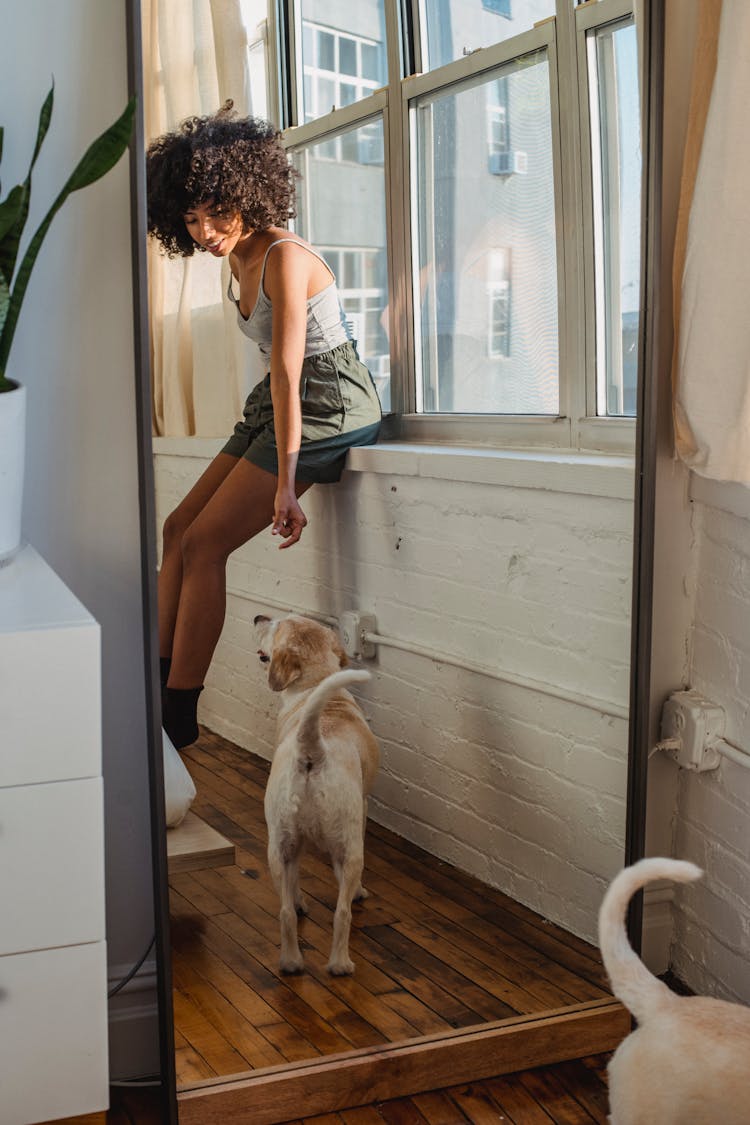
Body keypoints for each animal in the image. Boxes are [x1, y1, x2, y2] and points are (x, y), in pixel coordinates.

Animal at [254, 616, 382, 976]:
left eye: (276, 624)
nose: (257, 618)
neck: (316, 685)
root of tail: (312, 749)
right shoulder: (362, 808)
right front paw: (359, 892)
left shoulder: (290, 846)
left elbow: (294, 886)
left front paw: (299, 903)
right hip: (351, 848)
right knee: (342, 913)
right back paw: (340, 964)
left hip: (278, 845)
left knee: (284, 912)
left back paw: (291, 962)